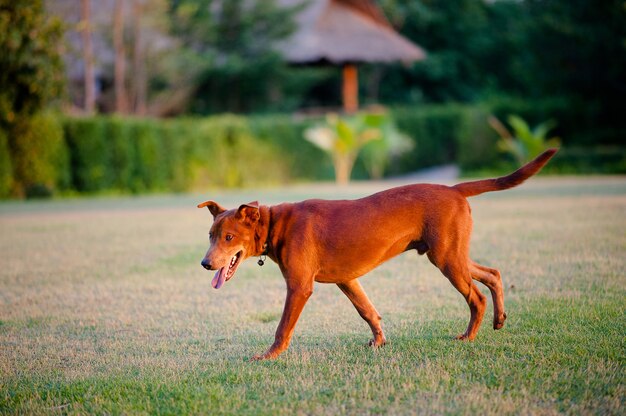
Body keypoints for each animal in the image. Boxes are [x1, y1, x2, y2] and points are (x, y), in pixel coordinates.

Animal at [196, 148, 556, 360]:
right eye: (211, 236)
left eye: (229, 237)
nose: (206, 263)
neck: (276, 224)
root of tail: (454, 189)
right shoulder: (348, 280)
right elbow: (367, 311)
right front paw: (379, 342)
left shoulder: (299, 287)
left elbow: (283, 327)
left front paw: (269, 356)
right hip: (451, 254)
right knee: (492, 273)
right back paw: (499, 319)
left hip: (446, 259)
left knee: (475, 297)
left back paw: (468, 336)